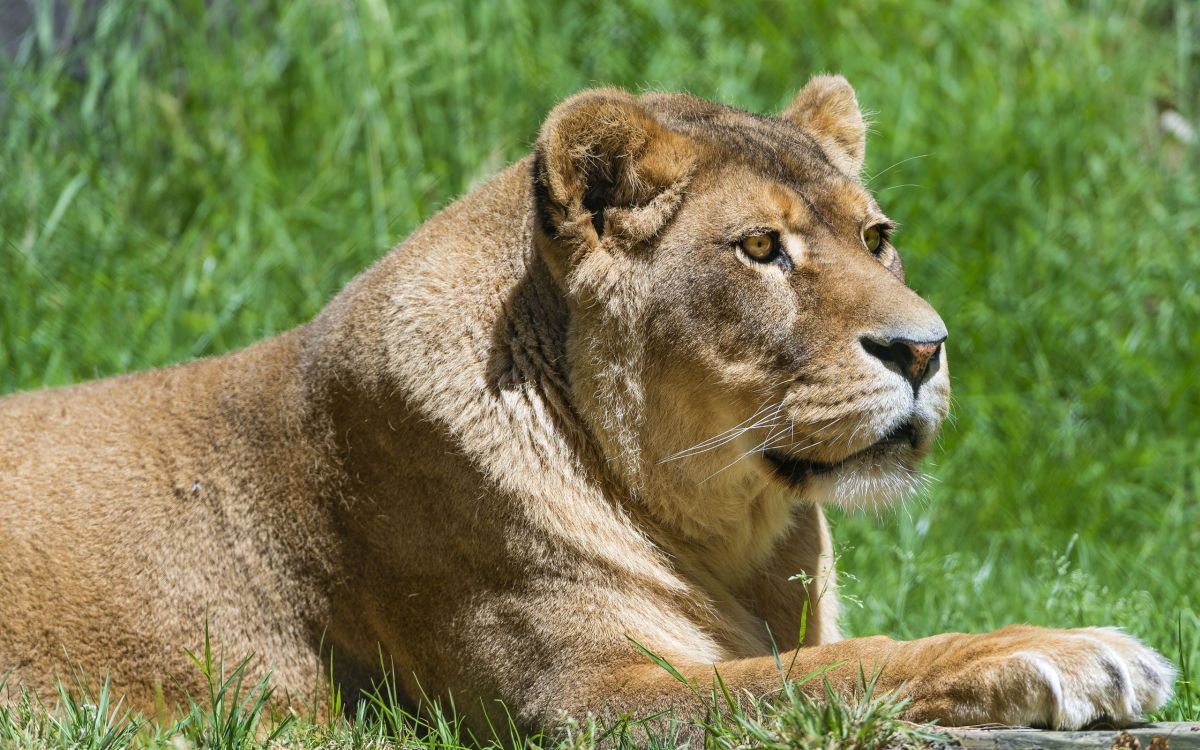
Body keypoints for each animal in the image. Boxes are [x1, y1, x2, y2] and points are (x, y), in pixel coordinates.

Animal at [0, 76, 1175, 733]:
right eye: (761, 247)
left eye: (876, 236)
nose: (924, 349)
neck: (735, 533)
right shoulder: (584, 698)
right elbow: (837, 668)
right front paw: (1070, 654)